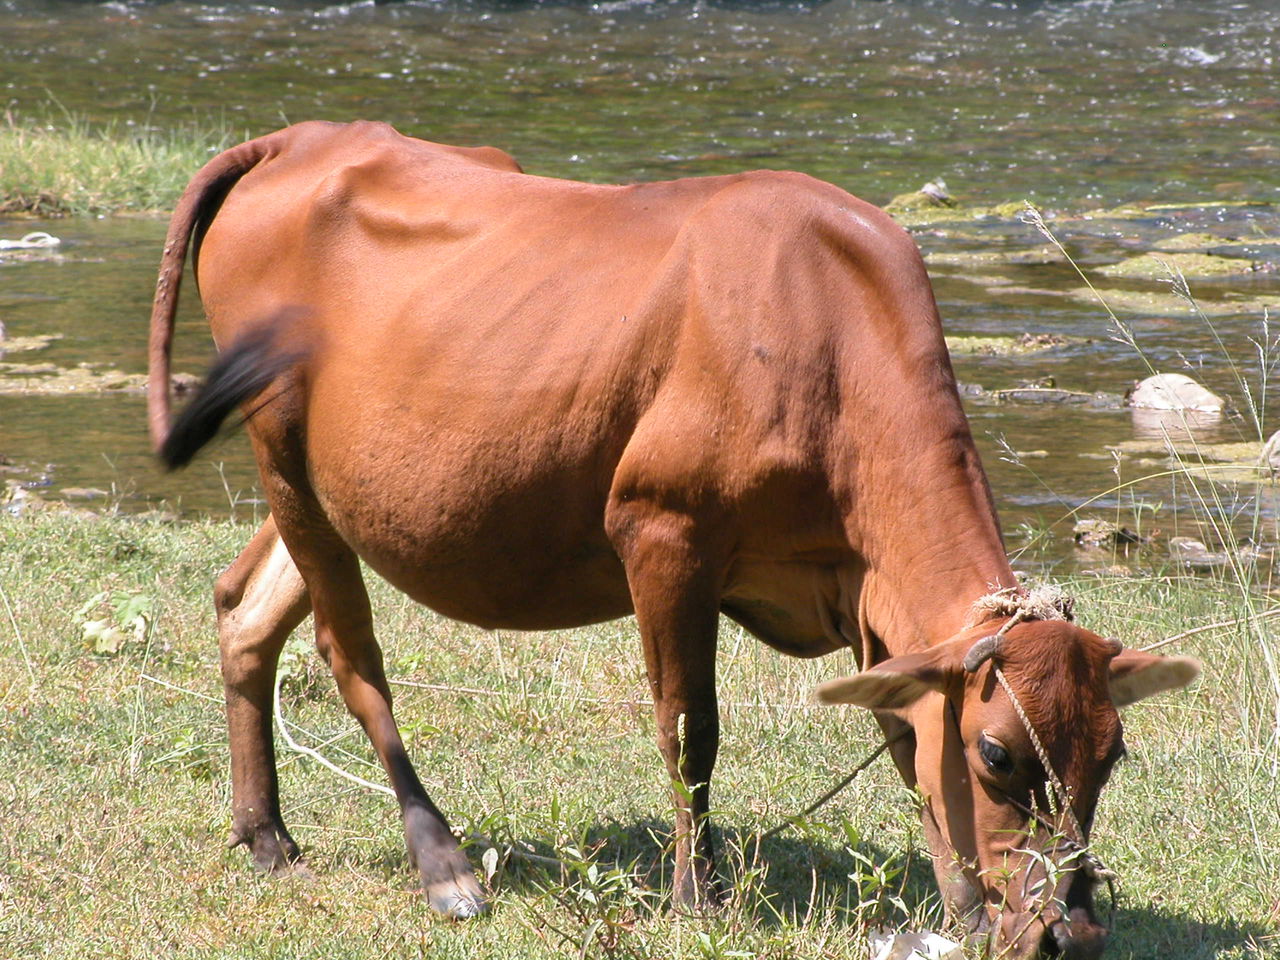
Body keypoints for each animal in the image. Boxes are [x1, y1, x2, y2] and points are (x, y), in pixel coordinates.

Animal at [149, 124, 1198, 957]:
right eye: (998, 755)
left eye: (1112, 755)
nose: (1073, 933)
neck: (829, 333)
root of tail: (298, 139)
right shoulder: (662, 531)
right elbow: (691, 729)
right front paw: (702, 896)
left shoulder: (866, 595)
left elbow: (906, 741)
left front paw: (964, 910)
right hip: (281, 448)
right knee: (349, 650)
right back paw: (441, 862)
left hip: (331, 487)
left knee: (246, 605)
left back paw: (264, 833)